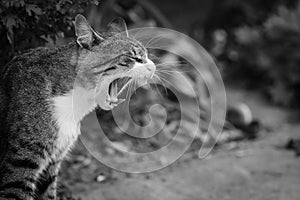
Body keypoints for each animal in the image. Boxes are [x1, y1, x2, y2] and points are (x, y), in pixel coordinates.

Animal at [0, 14, 155, 200]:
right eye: (134, 58)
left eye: (146, 56)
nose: (153, 67)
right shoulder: (21, 163)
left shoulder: (53, 162)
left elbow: (48, 193)